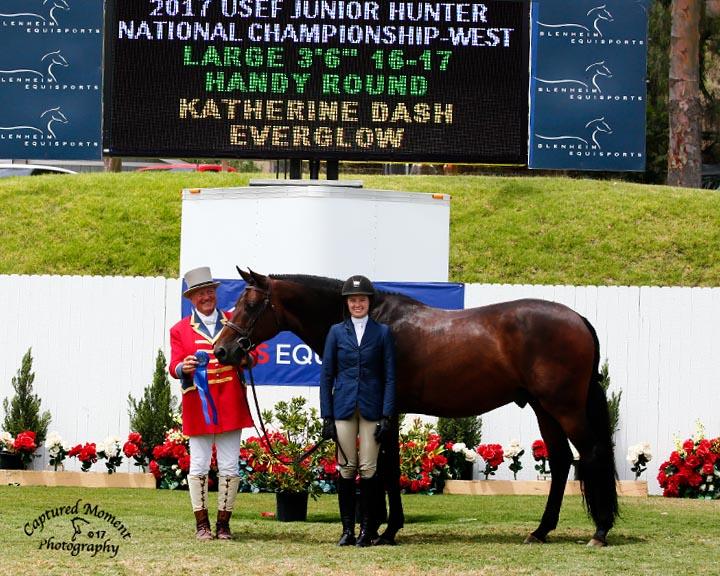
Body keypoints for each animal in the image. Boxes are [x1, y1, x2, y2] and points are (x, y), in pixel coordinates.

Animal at [215, 268, 620, 544]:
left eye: (250, 304)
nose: (223, 350)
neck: (373, 320)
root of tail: (578, 320)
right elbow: (383, 467)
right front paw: (378, 526)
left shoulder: (387, 411)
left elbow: (387, 468)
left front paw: (384, 529)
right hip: (543, 407)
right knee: (562, 460)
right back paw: (540, 530)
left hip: (564, 406)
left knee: (591, 453)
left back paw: (599, 531)